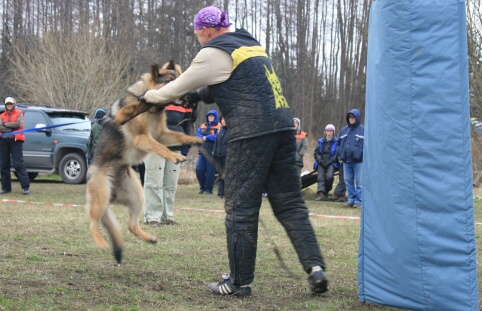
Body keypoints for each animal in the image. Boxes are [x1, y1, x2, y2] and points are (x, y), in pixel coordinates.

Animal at [85, 61, 202, 264]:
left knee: (131, 226)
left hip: (137, 198)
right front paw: (175, 156)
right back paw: (101, 243)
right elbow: (160, 147)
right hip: (101, 198)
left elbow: (178, 136)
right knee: (93, 223)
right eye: (171, 81)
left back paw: (149, 238)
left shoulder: (162, 135)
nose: (189, 96)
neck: (151, 108)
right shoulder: (143, 138)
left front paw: (194, 139)